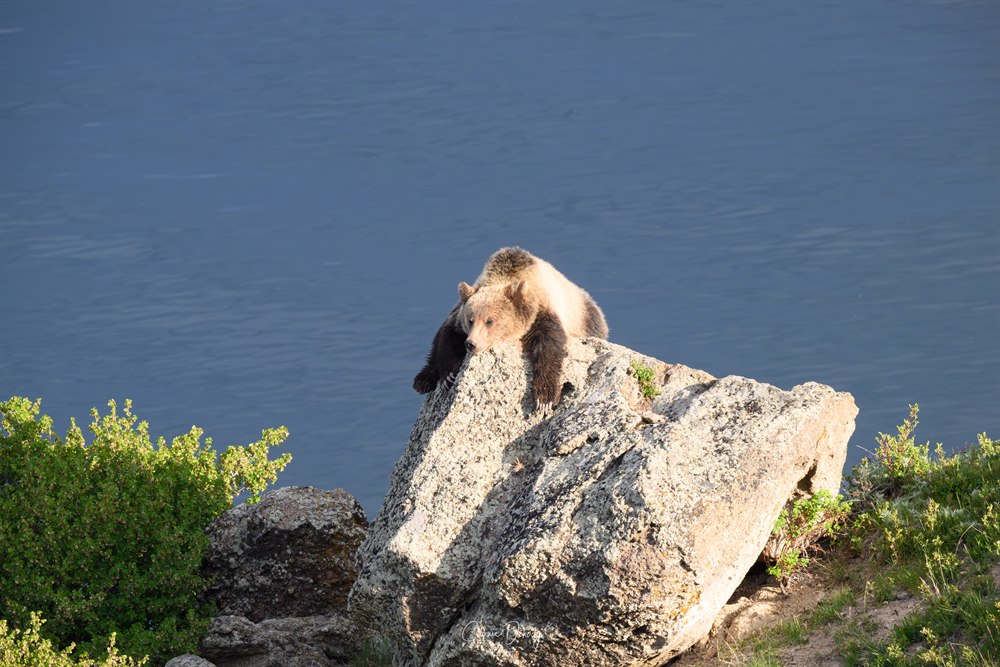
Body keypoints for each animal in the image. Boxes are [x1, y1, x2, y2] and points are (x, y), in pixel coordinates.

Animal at [413, 246, 609, 411]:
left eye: (490, 321)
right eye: (470, 320)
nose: (471, 344)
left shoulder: (543, 312)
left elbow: (549, 348)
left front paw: (544, 397)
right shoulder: (458, 317)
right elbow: (445, 337)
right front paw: (447, 376)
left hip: (586, 318)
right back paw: (423, 379)